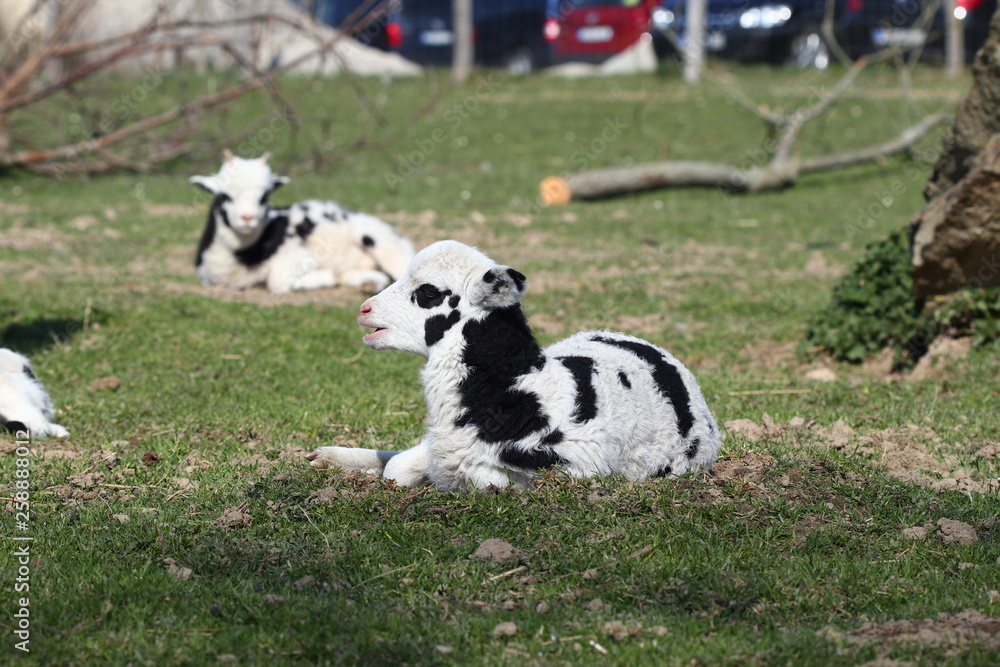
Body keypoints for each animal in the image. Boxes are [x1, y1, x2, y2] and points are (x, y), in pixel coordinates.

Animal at [191, 155, 414, 296]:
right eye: (224, 196)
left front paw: (326, 277)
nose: (248, 218)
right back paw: (368, 284)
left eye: (265, 197)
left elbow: (277, 281)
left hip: (384, 244)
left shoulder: (299, 255)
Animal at [304, 240, 720, 490]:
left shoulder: (577, 468)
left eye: (427, 292)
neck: (519, 386)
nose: (364, 310)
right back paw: (326, 456)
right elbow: (402, 468)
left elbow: (482, 479)